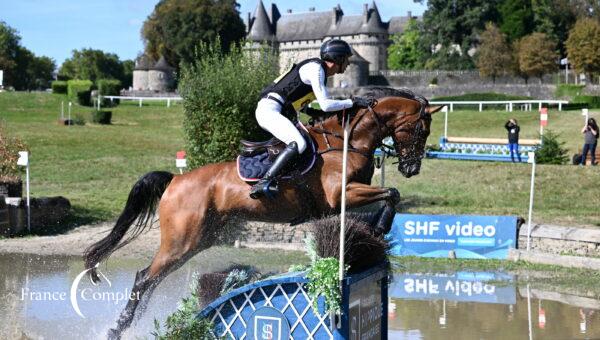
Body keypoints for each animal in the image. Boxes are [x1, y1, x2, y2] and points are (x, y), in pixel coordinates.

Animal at [83, 87, 440, 338]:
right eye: (421, 131)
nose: (411, 168)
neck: (347, 141)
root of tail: (176, 180)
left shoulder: (348, 197)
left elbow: (386, 199)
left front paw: (372, 235)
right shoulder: (342, 193)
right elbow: (391, 194)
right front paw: (379, 229)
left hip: (199, 238)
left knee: (152, 279)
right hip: (181, 240)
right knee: (144, 277)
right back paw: (118, 329)